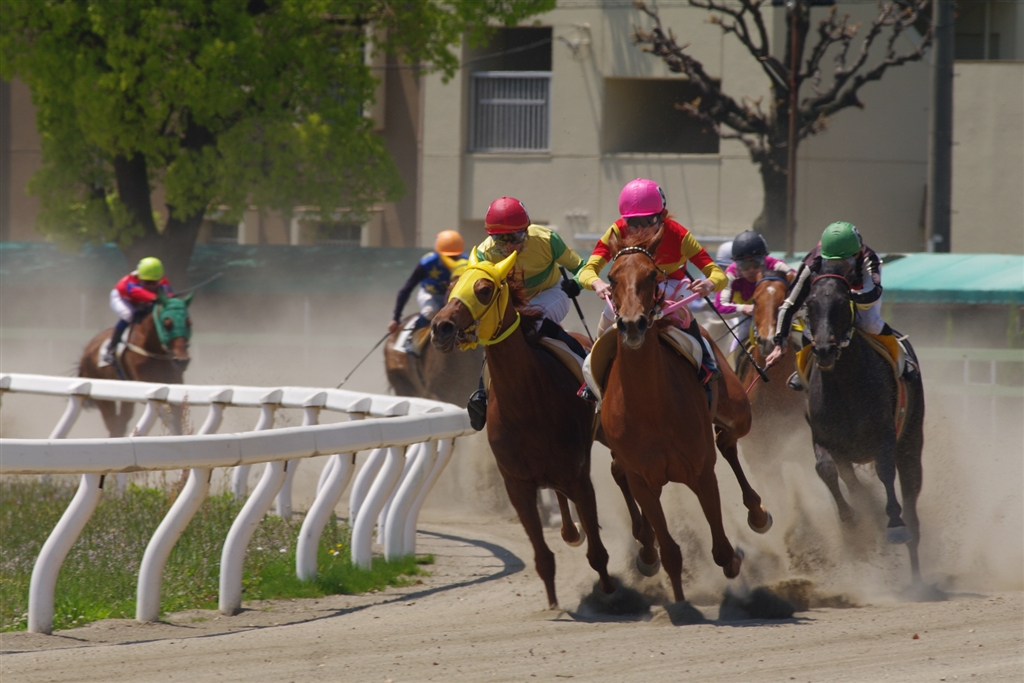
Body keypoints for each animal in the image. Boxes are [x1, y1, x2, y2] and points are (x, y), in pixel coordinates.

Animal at [78, 292, 193, 437]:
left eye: (189, 323)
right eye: (167, 324)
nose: (182, 360)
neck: (153, 348)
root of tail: (87, 349)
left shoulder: (174, 380)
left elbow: (177, 416)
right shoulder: (144, 381)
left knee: (121, 422)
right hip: (103, 397)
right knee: (113, 423)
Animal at [430, 252, 616, 609]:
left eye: (484, 289)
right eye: (452, 285)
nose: (440, 328)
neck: (528, 402)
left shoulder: (579, 476)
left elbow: (598, 552)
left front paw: (614, 598)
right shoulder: (517, 485)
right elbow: (543, 556)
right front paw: (553, 603)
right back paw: (571, 531)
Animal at [599, 227, 770, 603]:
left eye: (652, 275)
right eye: (612, 277)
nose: (632, 325)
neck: (650, 407)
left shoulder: (701, 471)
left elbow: (722, 550)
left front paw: (737, 558)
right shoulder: (643, 480)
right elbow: (671, 554)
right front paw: (677, 598)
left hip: (739, 410)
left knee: (728, 441)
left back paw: (757, 512)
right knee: (618, 472)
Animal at [802, 267, 925, 582]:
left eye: (842, 303)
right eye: (810, 303)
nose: (824, 349)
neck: (844, 383)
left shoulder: (884, 434)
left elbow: (885, 471)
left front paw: (894, 524)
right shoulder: (823, 437)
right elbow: (827, 469)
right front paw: (852, 520)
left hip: (911, 440)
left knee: (911, 496)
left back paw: (918, 578)